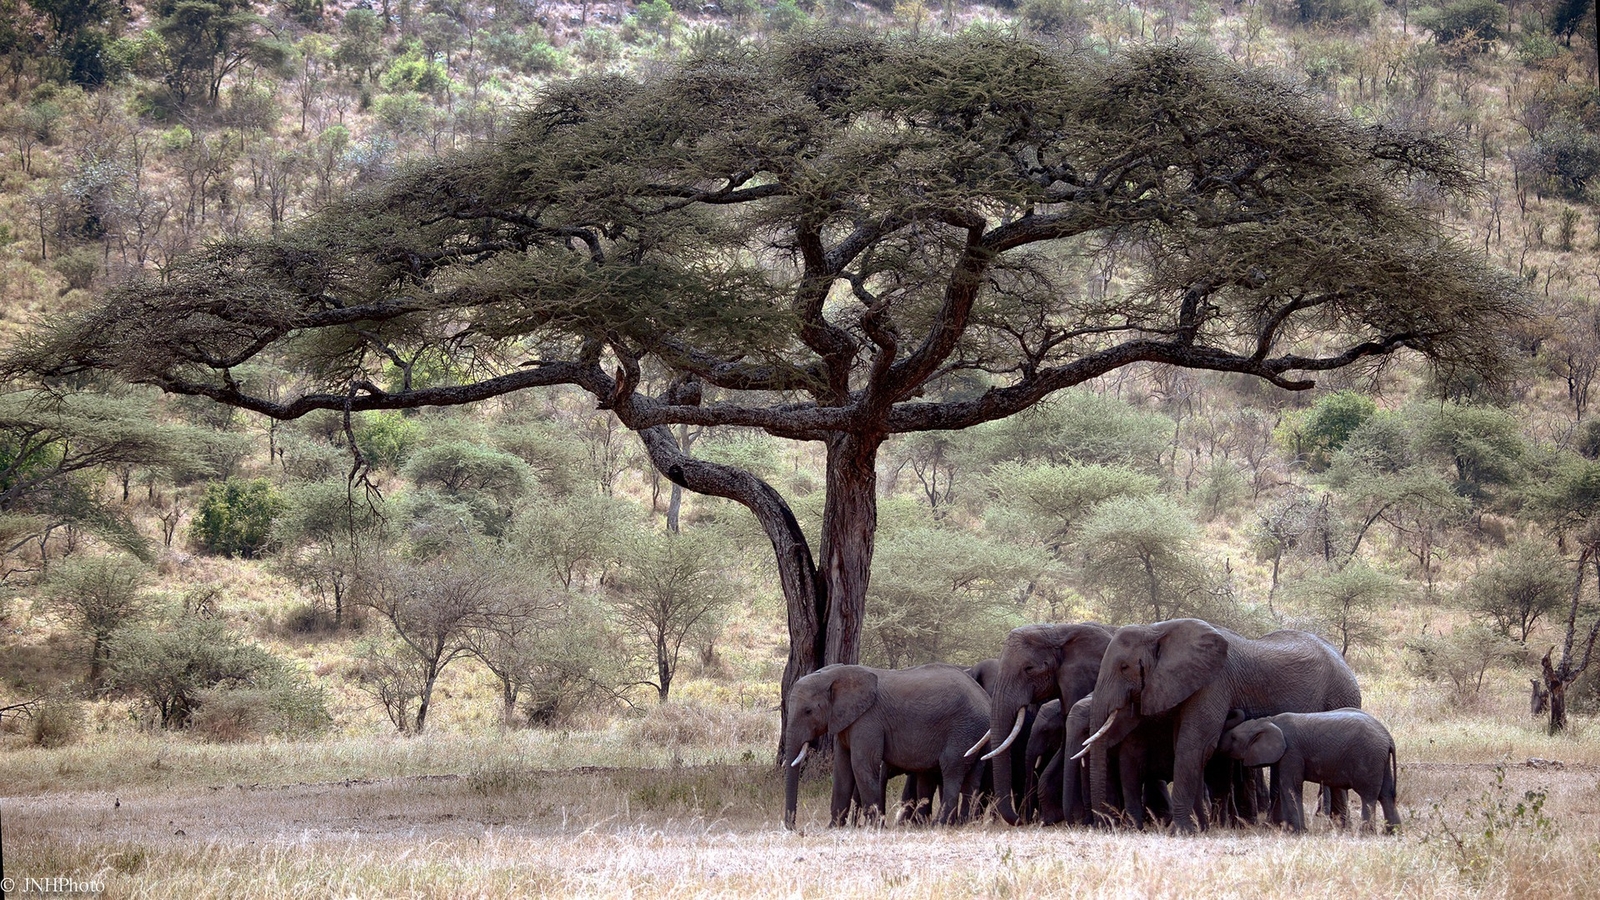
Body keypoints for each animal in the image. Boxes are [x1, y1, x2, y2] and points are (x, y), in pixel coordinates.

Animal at [783, 663, 990, 829]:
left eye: (808, 711)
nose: (793, 828)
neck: (835, 674)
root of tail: (985, 698)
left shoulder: (868, 720)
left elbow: (861, 765)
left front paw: (874, 827)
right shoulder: (846, 721)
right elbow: (842, 769)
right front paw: (834, 827)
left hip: (963, 729)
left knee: (952, 770)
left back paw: (940, 825)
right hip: (975, 732)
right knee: (972, 778)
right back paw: (964, 823)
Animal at [970, 622, 1115, 824]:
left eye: (1029, 668)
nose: (1022, 819)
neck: (1059, 632)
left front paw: (1073, 819)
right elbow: (1065, 748)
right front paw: (1052, 818)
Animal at [1081, 619, 1361, 832]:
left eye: (1124, 667)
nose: (1105, 826)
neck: (1157, 629)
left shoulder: (1214, 683)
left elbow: (1195, 745)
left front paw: (1181, 831)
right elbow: (1188, 747)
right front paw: (1200, 827)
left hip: (1342, 694)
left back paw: (1339, 828)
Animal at [1217, 708, 1400, 833]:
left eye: (1234, 738)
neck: (1268, 721)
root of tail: (1388, 738)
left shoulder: (1292, 752)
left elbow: (1290, 787)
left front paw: (1298, 832)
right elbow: (1285, 787)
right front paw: (1289, 830)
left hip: (1369, 758)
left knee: (1369, 796)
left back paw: (1365, 834)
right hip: (1380, 761)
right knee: (1386, 795)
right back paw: (1392, 833)